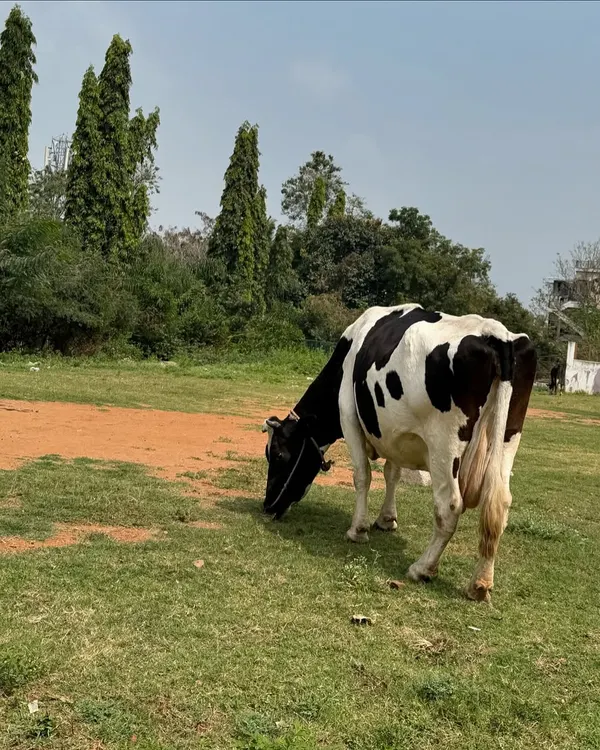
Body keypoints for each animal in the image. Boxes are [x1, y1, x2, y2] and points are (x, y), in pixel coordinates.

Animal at [262, 303, 537, 603]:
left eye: (277, 455)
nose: (267, 506)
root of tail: (498, 335)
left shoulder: (349, 416)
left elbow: (363, 476)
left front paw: (357, 530)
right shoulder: (393, 432)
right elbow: (391, 473)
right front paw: (386, 519)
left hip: (444, 444)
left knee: (450, 505)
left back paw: (423, 568)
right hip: (509, 436)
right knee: (499, 503)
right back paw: (480, 583)